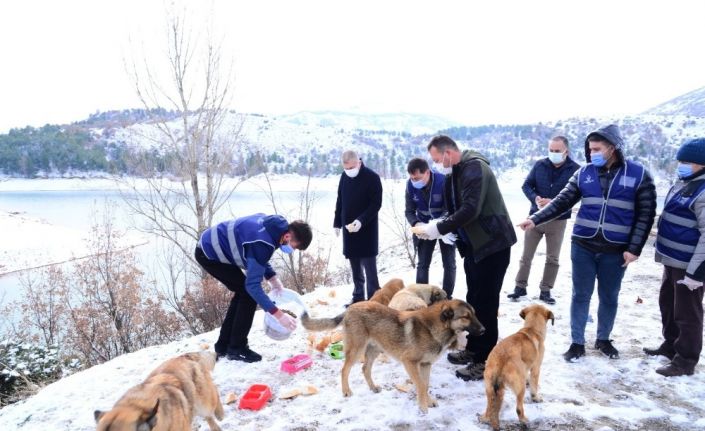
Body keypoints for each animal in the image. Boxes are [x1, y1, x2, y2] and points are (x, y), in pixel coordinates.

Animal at [300, 298, 486, 414]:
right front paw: (423, 407)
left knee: (365, 368)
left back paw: (373, 388)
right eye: (465, 317)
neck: (435, 328)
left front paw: (428, 401)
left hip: (374, 350)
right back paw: (346, 391)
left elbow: (425, 385)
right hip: (357, 350)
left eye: (475, 314)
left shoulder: (425, 365)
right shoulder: (409, 362)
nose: (484, 330)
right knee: (344, 370)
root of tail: (350, 308)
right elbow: (420, 385)